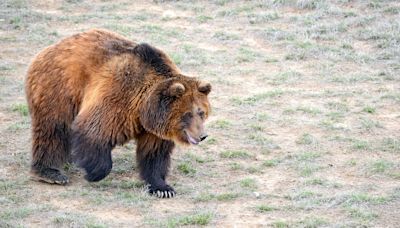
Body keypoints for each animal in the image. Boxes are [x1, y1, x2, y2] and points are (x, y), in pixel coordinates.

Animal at [24, 29, 211, 198]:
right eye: (187, 114)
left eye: (201, 112)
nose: (202, 136)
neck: (144, 108)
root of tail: (50, 48)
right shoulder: (119, 97)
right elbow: (94, 130)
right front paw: (93, 173)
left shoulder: (155, 128)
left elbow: (154, 154)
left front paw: (162, 188)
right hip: (59, 87)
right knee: (53, 128)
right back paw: (50, 172)